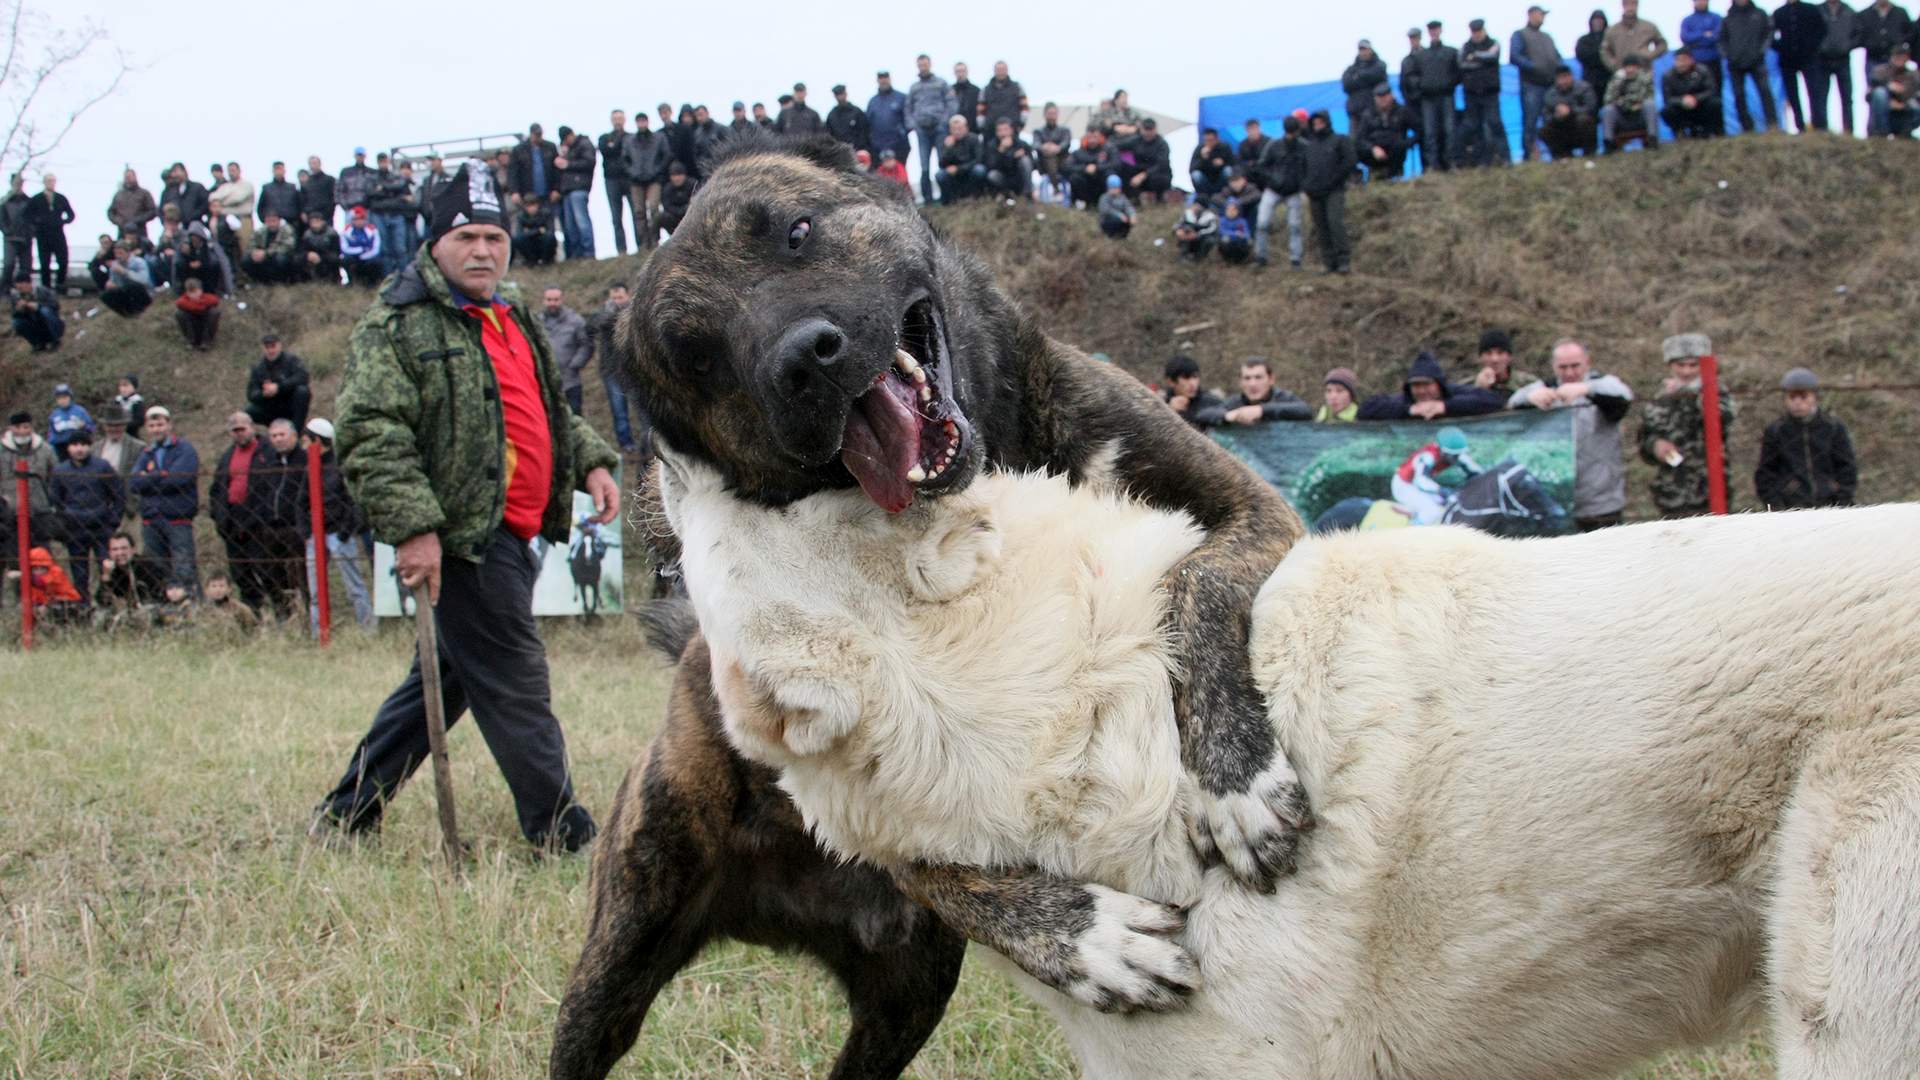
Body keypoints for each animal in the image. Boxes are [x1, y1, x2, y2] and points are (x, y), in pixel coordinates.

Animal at [549, 134, 1313, 1076]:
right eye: (697, 357)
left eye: (797, 232)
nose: (804, 359)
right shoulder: (838, 777)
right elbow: (936, 861)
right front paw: (1087, 937)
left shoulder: (1253, 507)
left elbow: (1197, 584)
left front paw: (1234, 776)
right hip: (623, 946)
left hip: (904, 996)